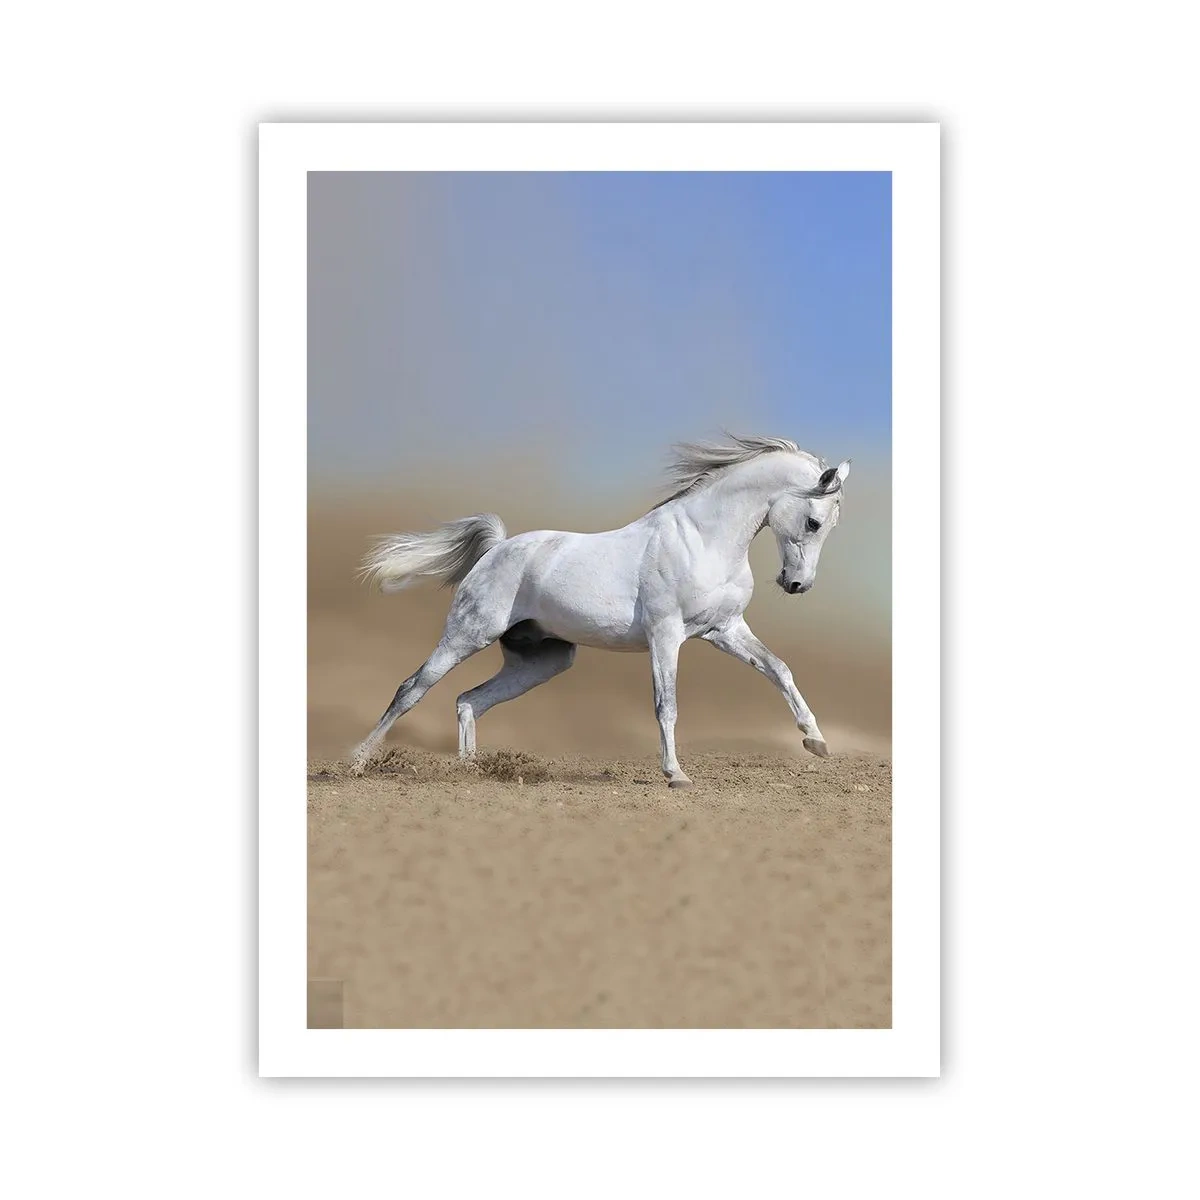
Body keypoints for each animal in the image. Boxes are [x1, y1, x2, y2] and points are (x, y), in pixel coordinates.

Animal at [349, 434, 851, 787]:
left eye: (828, 526)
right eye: (814, 522)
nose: (797, 584)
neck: (703, 539)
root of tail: (496, 549)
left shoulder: (724, 630)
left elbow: (779, 669)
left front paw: (816, 741)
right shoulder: (665, 635)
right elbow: (666, 704)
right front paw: (675, 774)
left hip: (543, 661)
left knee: (469, 700)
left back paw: (471, 771)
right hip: (467, 635)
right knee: (412, 689)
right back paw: (356, 762)